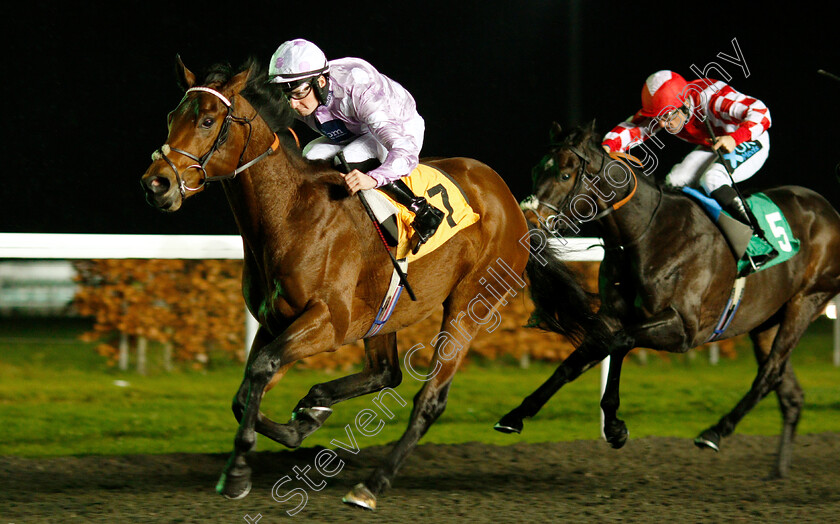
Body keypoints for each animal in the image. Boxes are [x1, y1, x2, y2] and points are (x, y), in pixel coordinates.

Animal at [139, 58, 604, 508]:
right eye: (171, 116)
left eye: (208, 120)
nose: (156, 183)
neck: (291, 215)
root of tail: (511, 202)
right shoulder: (276, 322)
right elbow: (246, 391)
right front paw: (299, 423)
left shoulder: (328, 322)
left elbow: (262, 368)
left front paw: (237, 471)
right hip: (387, 309)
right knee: (386, 372)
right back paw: (318, 406)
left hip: (471, 303)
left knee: (429, 400)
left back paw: (372, 485)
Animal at [496, 121, 840, 476]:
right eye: (536, 170)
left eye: (565, 175)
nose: (528, 224)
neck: (648, 232)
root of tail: (827, 209)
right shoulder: (614, 316)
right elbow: (578, 360)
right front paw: (516, 416)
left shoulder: (685, 329)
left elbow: (618, 342)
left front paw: (614, 425)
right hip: (765, 321)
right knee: (789, 390)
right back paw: (778, 471)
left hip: (807, 301)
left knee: (770, 372)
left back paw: (715, 432)